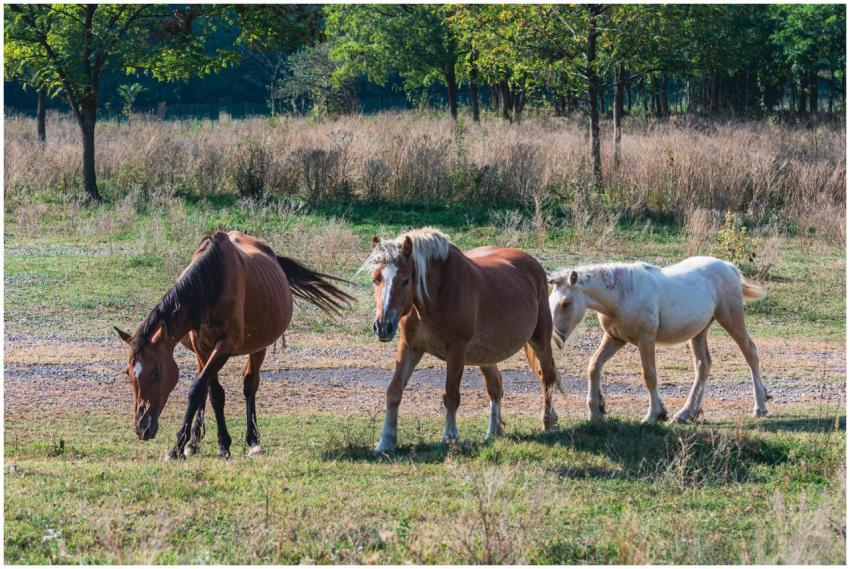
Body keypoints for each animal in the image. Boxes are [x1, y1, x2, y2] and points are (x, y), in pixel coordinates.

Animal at [115, 230, 353, 459]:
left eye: (156, 374)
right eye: (128, 373)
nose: (142, 428)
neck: (212, 284)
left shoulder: (225, 346)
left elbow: (198, 389)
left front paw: (179, 447)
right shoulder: (203, 347)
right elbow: (211, 392)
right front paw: (208, 444)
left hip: (259, 347)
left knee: (250, 386)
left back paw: (253, 441)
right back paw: (194, 443)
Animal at [362, 227, 563, 453]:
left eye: (405, 280)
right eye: (376, 279)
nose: (382, 326)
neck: (435, 295)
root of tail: (533, 263)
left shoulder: (456, 351)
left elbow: (451, 395)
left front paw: (449, 437)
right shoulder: (409, 347)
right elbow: (394, 391)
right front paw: (386, 441)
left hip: (540, 339)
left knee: (547, 377)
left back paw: (548, 421)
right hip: (486, 353)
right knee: (495, 386)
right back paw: (493, 432)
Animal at [547, 256, 769, 424]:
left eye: (566, 303)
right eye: (550, 302)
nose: (555, 338)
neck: (622, 295)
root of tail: (728, 266)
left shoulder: (646, 339)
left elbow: (649, 375)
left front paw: (654, 415)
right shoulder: (614, 338)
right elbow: (594, 366)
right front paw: (595, 412)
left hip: (731, 318)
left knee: (750, 352)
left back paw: (760, 406)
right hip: (699, 332)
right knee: (703, 365)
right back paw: (686, 413)